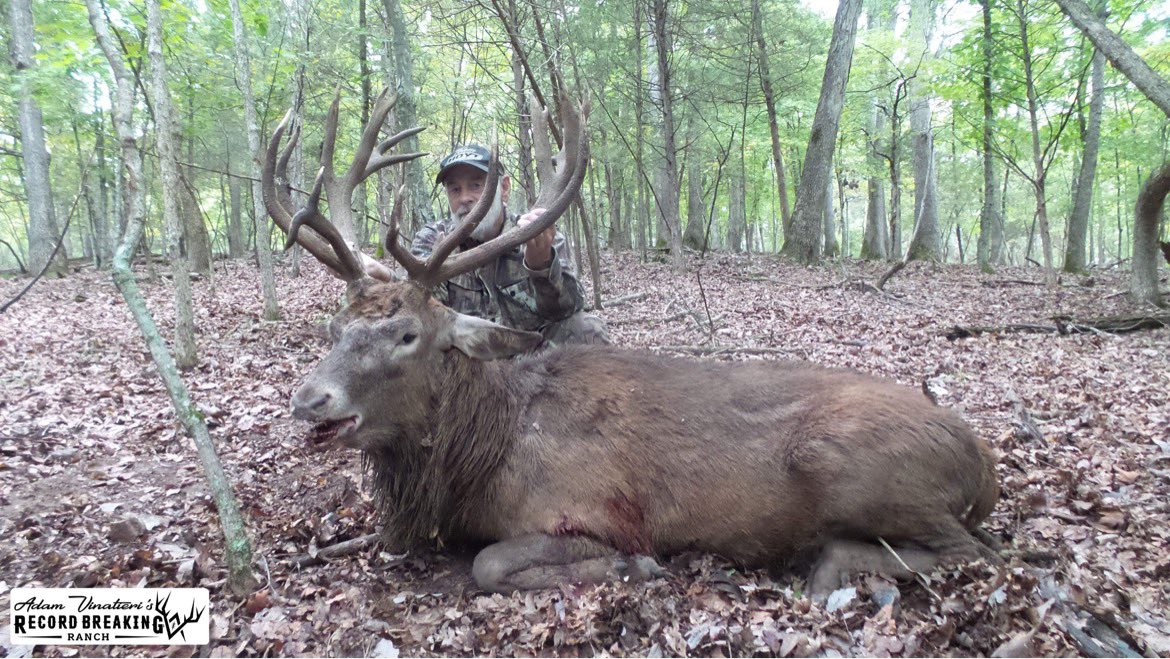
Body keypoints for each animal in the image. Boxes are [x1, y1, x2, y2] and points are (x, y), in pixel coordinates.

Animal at [262, 88, 1001, 598]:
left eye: (407, 334)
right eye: (334, 327)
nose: (308, 400)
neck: (483, 454)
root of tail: (981, 457)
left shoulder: (592, 507)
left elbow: (489, 563)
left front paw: (636, 565)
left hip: (849, 464)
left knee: (974, 549)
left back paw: (827, 566)